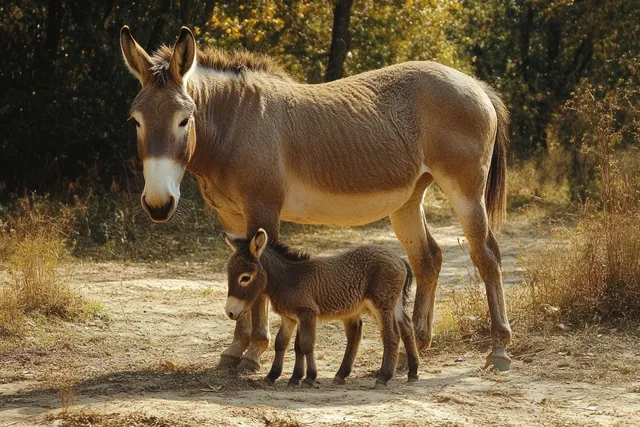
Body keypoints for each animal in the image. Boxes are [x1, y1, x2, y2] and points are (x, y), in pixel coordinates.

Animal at [119, 26, 512, 371]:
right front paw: (235, 349)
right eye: (135, 121)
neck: (236, 124)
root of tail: (474, 84)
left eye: (184, 120)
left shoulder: (262, 211)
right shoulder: (230, 216)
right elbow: (240, 265)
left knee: (487, 255)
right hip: (408, 201)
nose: (158, 205)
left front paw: (253, 353)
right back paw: (410, 350)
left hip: (466, 192)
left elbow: (259, 276)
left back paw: (498, 350)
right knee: (427, 259)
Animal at [224, 228, 419, 388]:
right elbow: (284, 344)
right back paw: (412, 372)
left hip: (381, 305)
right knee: (406, 327)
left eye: (245, 278)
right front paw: (280, 376)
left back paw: (384, 377)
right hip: (392, 305)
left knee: (391, 335)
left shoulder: (308, 313)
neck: (288, 279)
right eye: (228, 274)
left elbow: (306, 344)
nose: (230, 312)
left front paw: (309, 378)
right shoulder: (291, 317)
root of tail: (399, 259)